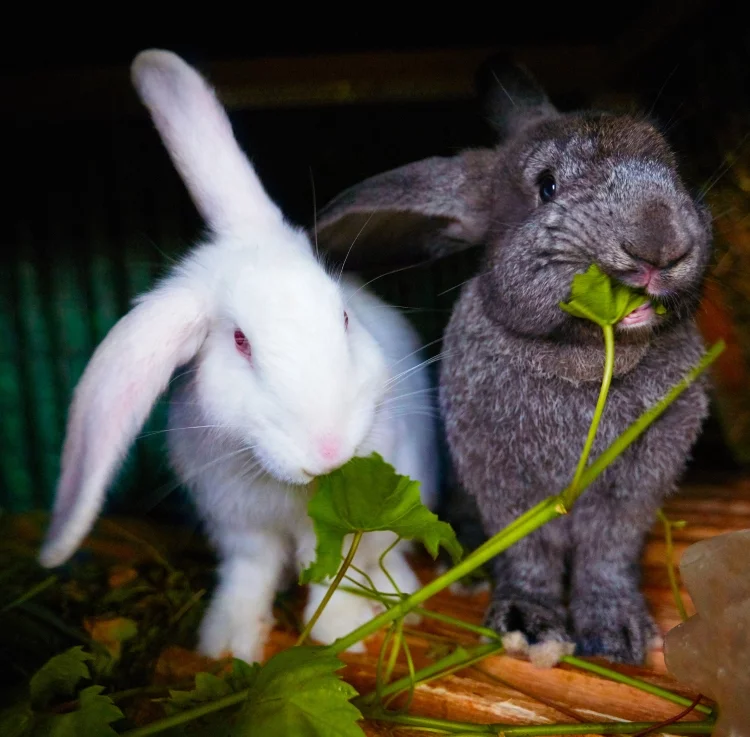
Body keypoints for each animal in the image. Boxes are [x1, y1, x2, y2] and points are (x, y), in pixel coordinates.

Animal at [38, 50, 440, 660]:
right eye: (240, 342)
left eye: (344, 317)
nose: (328, 451)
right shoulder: (238, 526)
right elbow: (249, 574)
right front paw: (225, 645)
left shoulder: (338, 525)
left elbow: (334, 572)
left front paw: (342, 635)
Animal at [314, 60, 712, 664]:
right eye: (546, 187)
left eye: (673, 165)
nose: (660, 242)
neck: (585, 358)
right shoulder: (506, 483)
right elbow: (531, 553)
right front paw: (529, 625)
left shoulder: (633, 492)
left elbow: (607, 556)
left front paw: (617, 636)